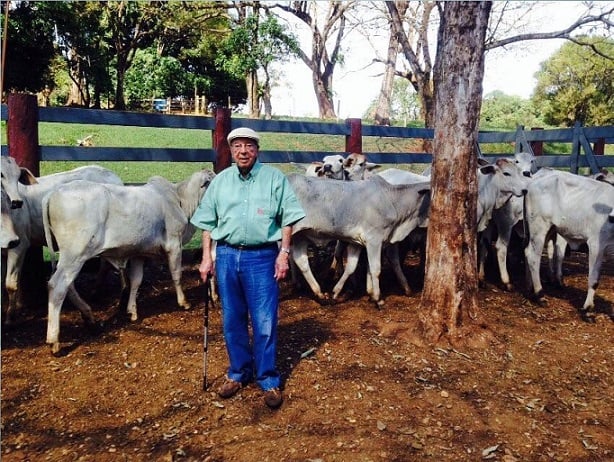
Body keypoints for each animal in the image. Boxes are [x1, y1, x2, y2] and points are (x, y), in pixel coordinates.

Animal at [1, 163, 126, 324]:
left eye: (17, 178)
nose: (16, 202)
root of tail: (113, 176)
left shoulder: (19, 245)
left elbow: (10, 284)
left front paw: (10, 317)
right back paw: (97, 291)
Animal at [41, 170, 214, 354]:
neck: (180, 199)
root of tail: (54, 193)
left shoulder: (139, 253)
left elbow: (136, 281)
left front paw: (132, 311)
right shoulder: (174, 244)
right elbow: (176, 275)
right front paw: (184, 302)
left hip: (70, 257)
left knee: (69, 286)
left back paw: (88, 317)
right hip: (75, 254)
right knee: (57, 286)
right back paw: (54, 340)